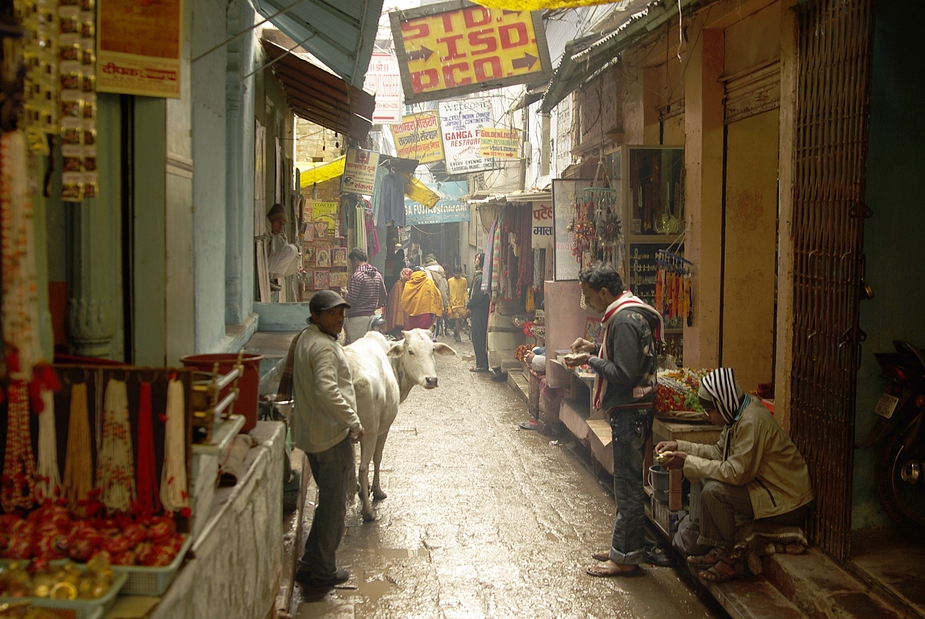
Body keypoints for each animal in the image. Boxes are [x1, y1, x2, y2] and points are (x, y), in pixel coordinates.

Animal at [342, 332, 454, 520]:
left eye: (432, 349)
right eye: (410, 351)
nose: (431, 379)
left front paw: (361, 489)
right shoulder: (383, 428)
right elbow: (377, 458)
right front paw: (376, 490)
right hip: (369, 431)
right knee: (363, 467)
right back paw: (368, 511)